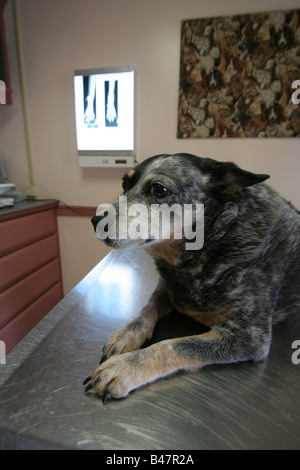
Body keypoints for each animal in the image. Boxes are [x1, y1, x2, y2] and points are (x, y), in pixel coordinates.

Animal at [83, 152, 300, 402]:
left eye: (159, 189)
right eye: (124, 185)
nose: (96, 222)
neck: (213, 243)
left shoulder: (249, 337)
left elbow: (173, 345)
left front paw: (124, 367)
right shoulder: (167, 287)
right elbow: (147, 308)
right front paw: (128, 334)